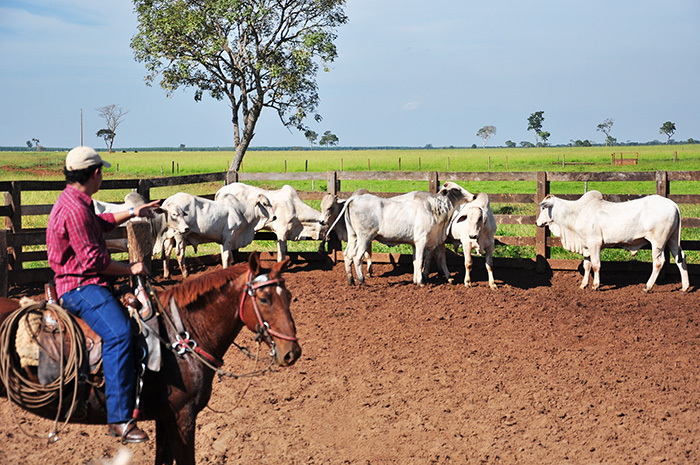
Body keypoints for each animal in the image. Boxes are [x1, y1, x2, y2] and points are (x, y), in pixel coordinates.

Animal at [0, 252, 300, 462]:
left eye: (289, 296)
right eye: (264, 299)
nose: (292, 353)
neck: (181, 333)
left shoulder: (165, 419)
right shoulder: (182, 417)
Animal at [330, 182, 474, 284]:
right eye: (456, 189)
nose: (473, 196)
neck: (433, 208)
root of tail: (355, 199)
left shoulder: (416, 243)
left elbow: (416, 261)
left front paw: (416, 280)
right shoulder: (421, 240)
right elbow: (421, 260)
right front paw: (421, 282)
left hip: (353, 236)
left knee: (347, 255)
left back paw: (351, 281)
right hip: (364, 237)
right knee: (357, 256)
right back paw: (361, 280)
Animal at [536, 190, 688, 292]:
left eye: (543, 207)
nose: (537, 222)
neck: (578, 212)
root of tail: (673, 204)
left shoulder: (595, 243)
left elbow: (596, 265)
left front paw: (595, 285)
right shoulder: (585, 246)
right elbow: (587, 265)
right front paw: (583, 284)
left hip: (658, 242)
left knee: (658, 262)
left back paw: (647, 286)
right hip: (672, 239)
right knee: (680, 258)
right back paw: (685, 287)